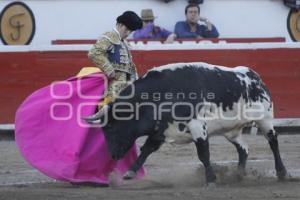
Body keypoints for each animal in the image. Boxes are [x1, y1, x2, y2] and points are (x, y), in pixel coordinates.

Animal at [86, 62, 286, 184]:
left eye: (110, 127)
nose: (113, 155)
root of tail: (256, 77)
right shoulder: (161, 130)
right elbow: (146, 150)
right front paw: (130, 172)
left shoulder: (198, 126)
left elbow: (203, 153)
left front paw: (211, 179)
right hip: (232, 131)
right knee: (243, 149)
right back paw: (238, 175)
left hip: (265, 119)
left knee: (273, 142)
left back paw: (282, 173)